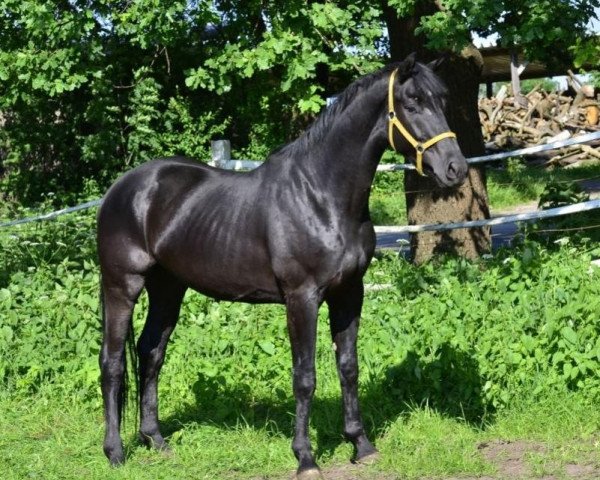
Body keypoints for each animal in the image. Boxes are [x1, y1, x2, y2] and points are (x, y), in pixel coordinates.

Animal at [97, 53, 468, 476]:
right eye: (412, 102)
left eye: (441, 100)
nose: (456, 168)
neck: (320, 196)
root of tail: (121, 188)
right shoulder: (301, 298)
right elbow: (304, 376)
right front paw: (305, 458)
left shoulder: (349, 293)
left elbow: (348, 366)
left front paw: (361, 444)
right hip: (122, 285)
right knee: (112, 363)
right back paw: (115, 452)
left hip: (167, 288)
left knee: (150, 352)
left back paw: (155, 440)